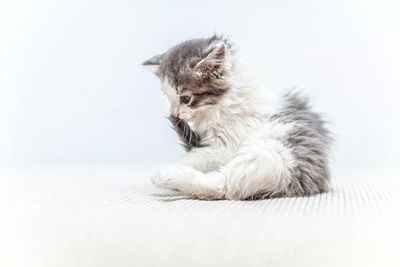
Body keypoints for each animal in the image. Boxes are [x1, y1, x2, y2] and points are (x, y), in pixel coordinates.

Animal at [142, 34, 332, 200]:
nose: (175, 114)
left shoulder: (227, 145)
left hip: (272, 153)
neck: (217, 107)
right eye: (168, 98)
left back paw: (166, 176)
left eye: (185, 98)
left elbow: (197, 156)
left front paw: (175, 165)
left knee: (222, 186)